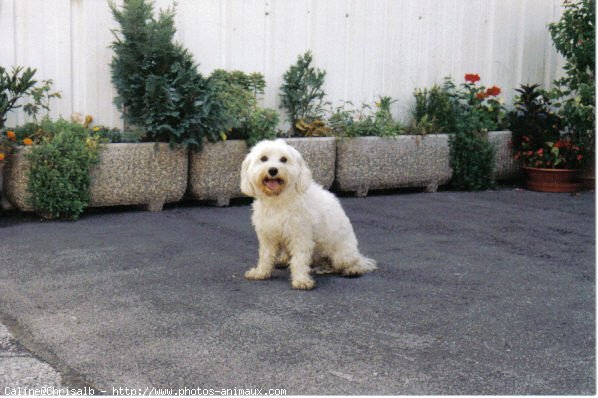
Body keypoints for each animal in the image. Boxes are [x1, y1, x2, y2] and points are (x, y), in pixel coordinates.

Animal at [241, 139, 378, 290]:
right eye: (263, 158)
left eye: (284, 159)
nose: (273, 170)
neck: (279, 201)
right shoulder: (268, 236)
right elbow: (265, 256)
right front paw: (261, 272)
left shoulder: (300, 236)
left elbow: (299, 259)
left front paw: (301, 280)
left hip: (342, 256)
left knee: (355, 262)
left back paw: (353, 269)